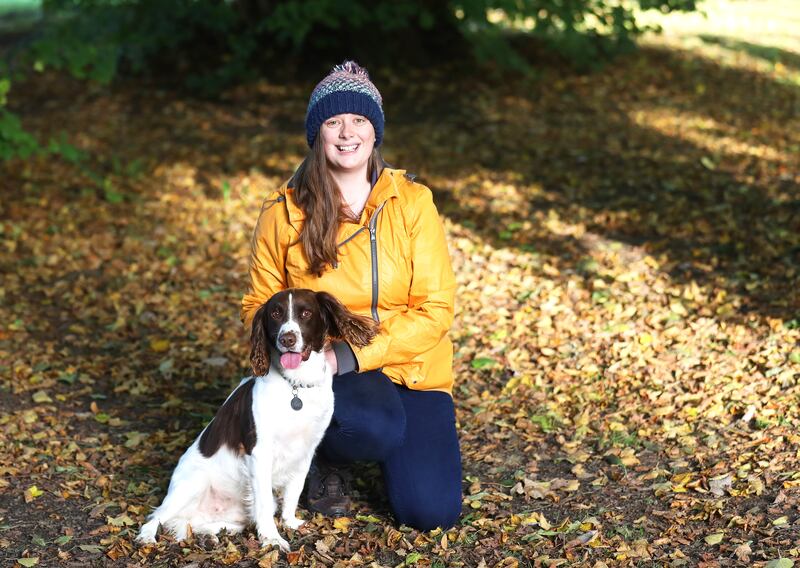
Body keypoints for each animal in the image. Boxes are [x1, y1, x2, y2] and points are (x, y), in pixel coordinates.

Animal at [137, 288, 378, 552]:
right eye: (275, 314)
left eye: (306, 313)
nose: (287, 339)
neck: (296, 386)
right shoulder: (260, 452)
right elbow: (263, 502)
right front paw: (272, 538)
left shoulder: (306, 450)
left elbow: (294, 491)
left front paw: (290, 522)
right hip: (192, 484)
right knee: (157, 517)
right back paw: (147, 538)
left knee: (195, 523)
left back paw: (209, 536)